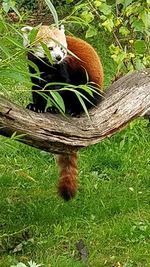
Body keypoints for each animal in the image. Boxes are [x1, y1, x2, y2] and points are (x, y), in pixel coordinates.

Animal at [21, 25, 103, 201]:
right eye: (50, 48)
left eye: (62, 49)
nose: (58, 57)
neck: (47, 67)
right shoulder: (34, 68)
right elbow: (38, 89)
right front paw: (36, 106)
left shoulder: (64, 69)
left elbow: (62, 87)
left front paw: (58, 106)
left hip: (89, 82)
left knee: (81, 93)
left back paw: (73, 109)